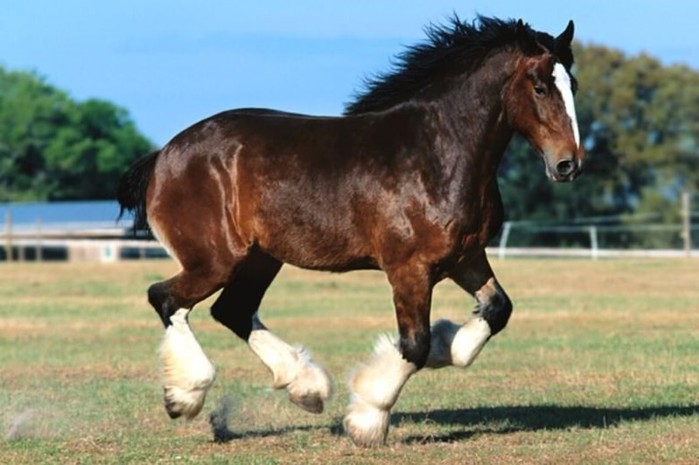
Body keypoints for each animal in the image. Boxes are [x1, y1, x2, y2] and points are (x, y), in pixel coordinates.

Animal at [119, 15, 584, 446]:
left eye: (573, 85)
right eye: (540, 87)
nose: (568, 164)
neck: (436, 155)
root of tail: (164, 156)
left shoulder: (465, 258)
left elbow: (495, 310)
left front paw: (445, 344)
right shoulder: (409, 269)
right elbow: (413, 345)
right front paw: (368, 418)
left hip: (260, 259)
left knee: (230, 310)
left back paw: (306, 388)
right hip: (216, 260)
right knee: (166, 298)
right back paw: (185, 396)